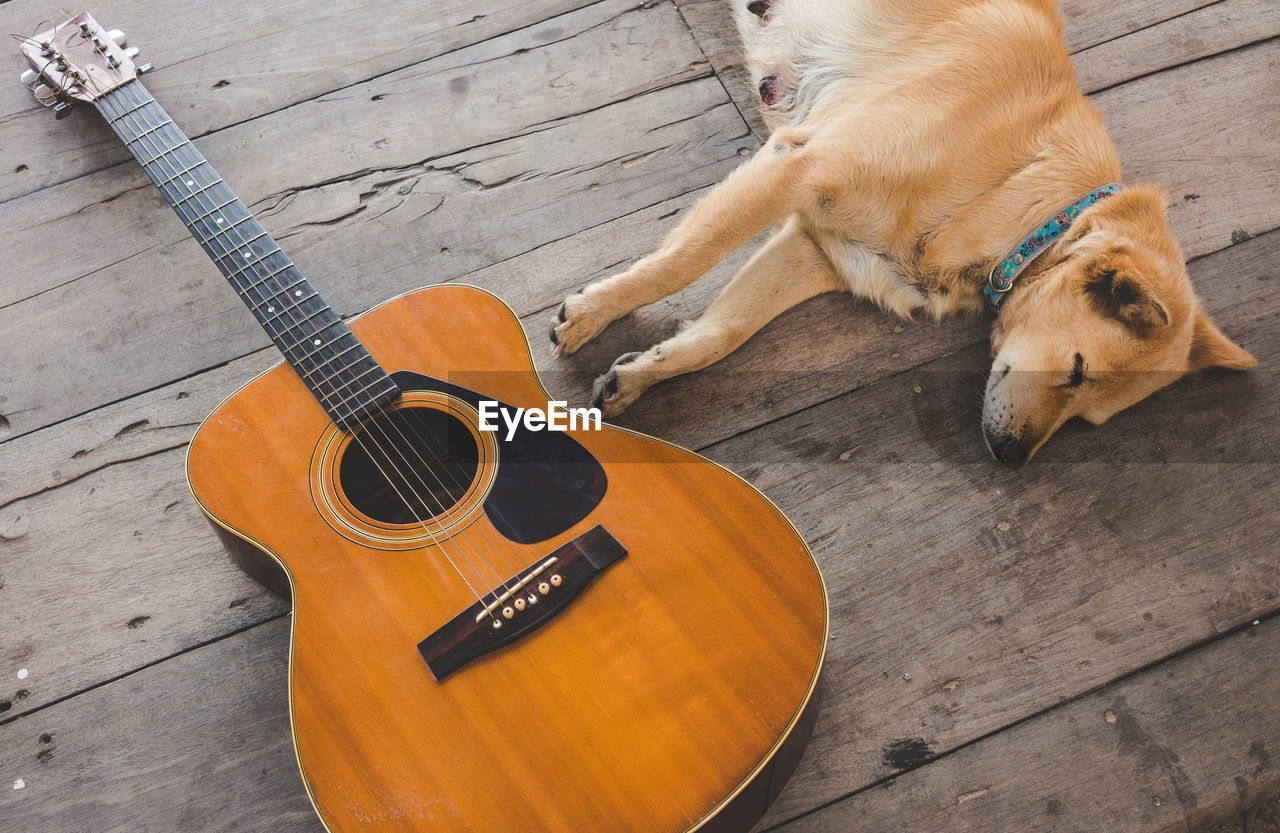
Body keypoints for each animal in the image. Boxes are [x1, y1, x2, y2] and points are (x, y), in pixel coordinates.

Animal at [547, 0, 1249, 463]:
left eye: (1089, 420)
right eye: (1077, 371)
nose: (1011, 461)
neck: (1024, 195)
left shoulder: (819, 249)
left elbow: (721, 331)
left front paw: (641, 374)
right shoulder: (798, 165)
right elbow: (685, 258)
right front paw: (593, 313)